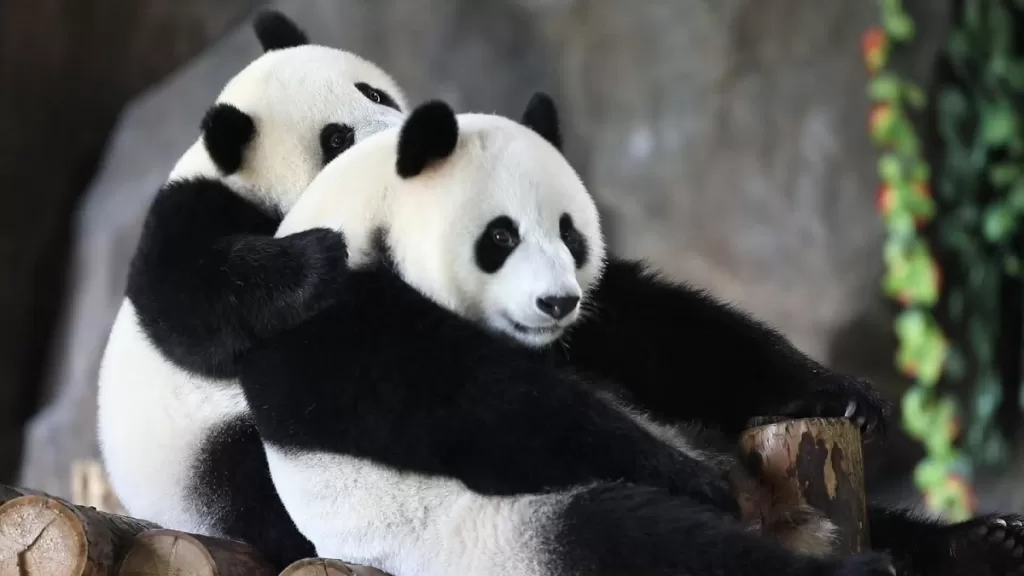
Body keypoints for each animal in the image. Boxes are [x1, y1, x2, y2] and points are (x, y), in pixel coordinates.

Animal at [95, 10, 407, 570]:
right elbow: (192, 305)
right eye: (336, 138)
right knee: (259, 480)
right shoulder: (187, 215)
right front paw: (320, 257)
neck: (241, 177)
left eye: (374, 93)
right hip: (211, 456)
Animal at [237, 96, 897, 576]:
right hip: (500, 538)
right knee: (635, 542)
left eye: (569, 233)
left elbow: (666, 334)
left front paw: (839, 393)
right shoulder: (333, 321)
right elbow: (496, 412)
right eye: (500, 236)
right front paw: (701, 480)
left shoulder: (594, 317)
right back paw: (849, 567)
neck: (365, 213)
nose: (557, 303)